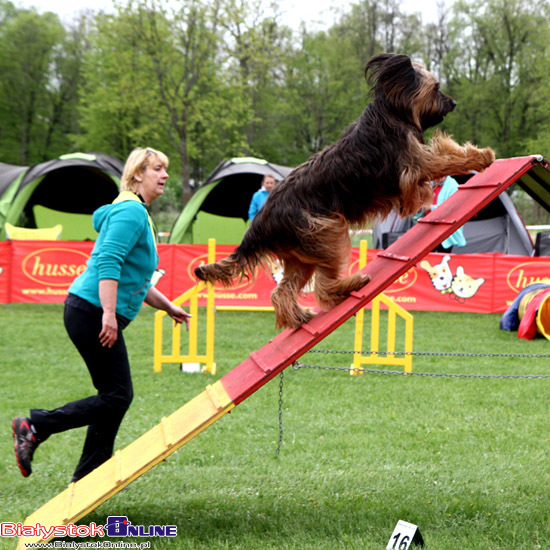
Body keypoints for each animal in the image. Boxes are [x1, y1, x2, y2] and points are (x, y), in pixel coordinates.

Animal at [196, 52, 498, 328]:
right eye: (435, 88)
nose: (453, 102)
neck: (392, 112)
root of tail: (261, 221)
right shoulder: (414, 164)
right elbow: (445, 160)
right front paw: (481, 157)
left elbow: (445, 154)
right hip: (327, 232)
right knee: (322, 287)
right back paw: (351, 283)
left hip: (300, 256)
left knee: (282, 292)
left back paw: (300, 318)